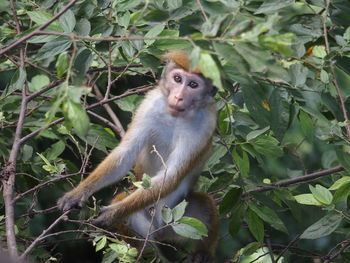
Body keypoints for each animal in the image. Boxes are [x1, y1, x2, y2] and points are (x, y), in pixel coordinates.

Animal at [58, 50, 220, 262]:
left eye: (193, 85)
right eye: (178, 79)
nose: (178, 97)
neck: (176, 116)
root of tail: (161, 230)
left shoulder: (206, 123)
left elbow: (171, 175)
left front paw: (112, 214)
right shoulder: (150, 104)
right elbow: (125, 154)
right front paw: (78, 193)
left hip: (180, 219)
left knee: (205, 206)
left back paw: (201, 254)